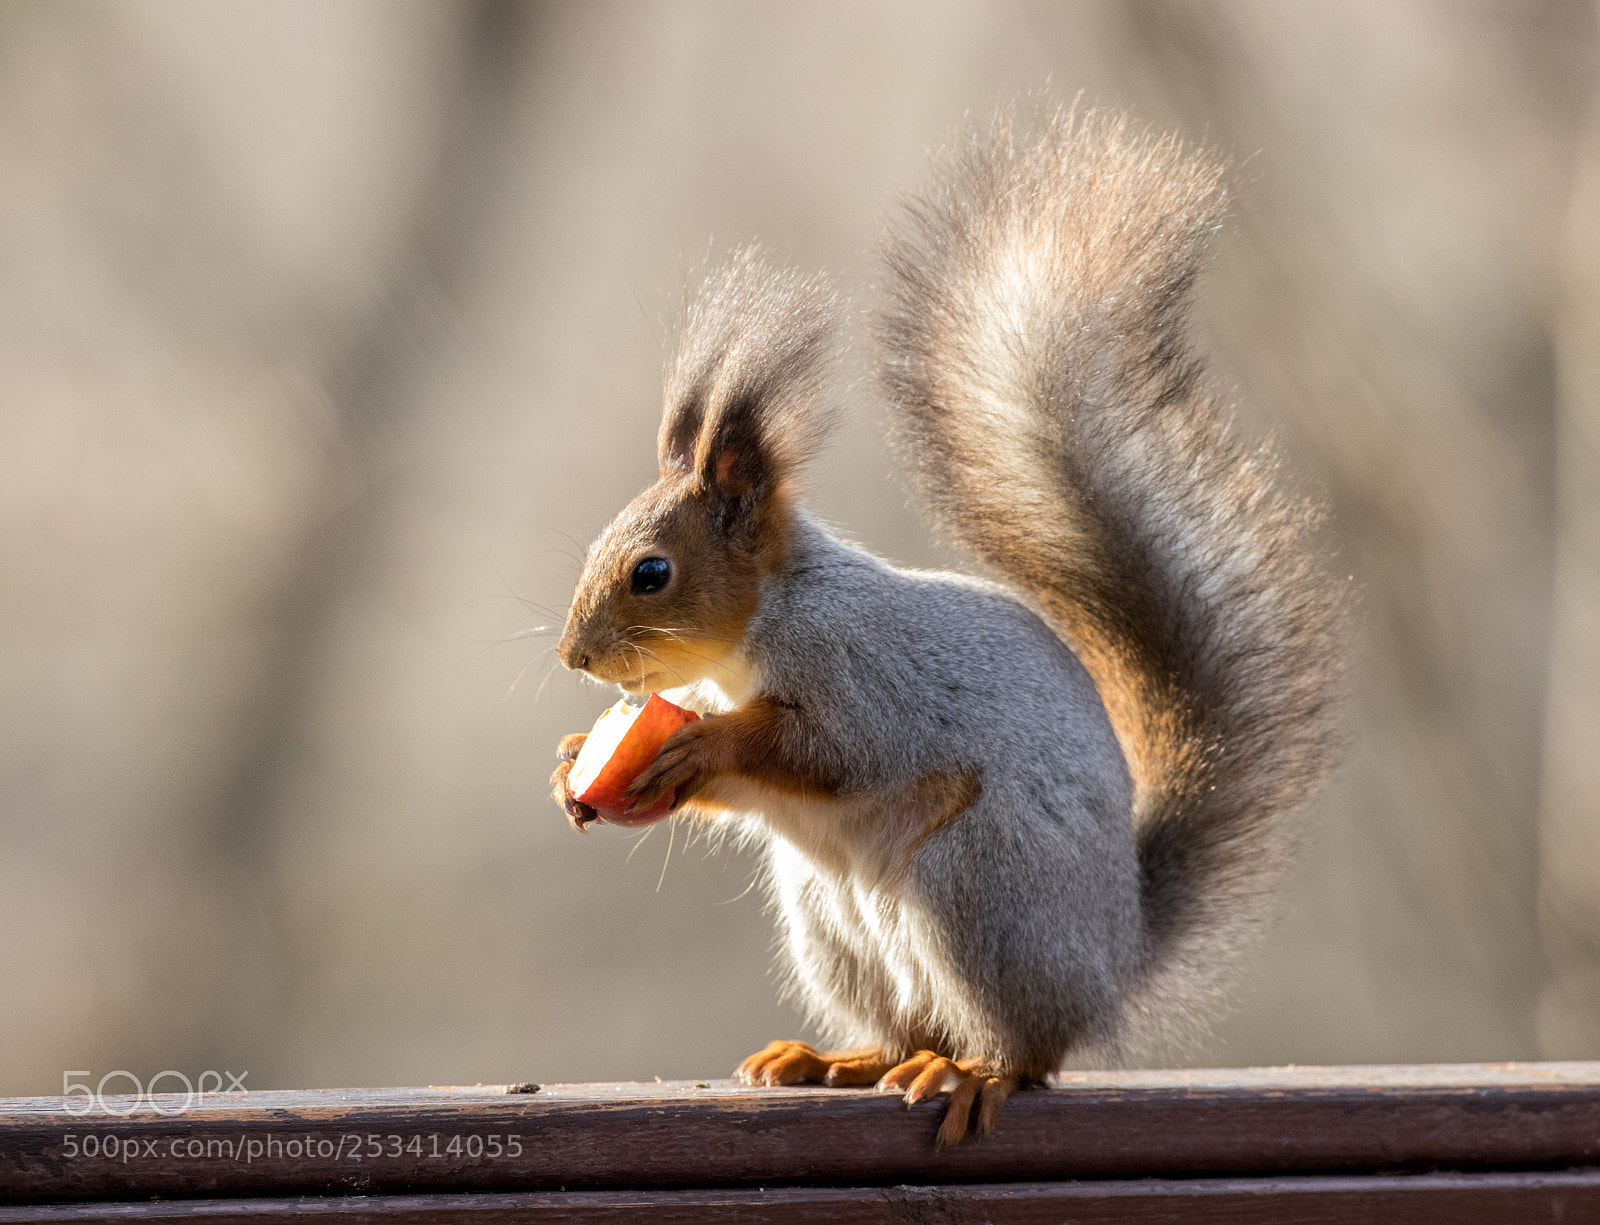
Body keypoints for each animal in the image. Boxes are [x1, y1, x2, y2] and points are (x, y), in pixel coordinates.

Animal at [549, 102, 1346, 1147]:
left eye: (652, 573)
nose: (575, 656)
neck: (763, 626)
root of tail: (1113, 956)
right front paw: (576, 762)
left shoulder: (862, 671)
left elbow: (825, 749)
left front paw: (702, 744)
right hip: (831, 920)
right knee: (905, 1029)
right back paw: (836, 1058)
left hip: (979, 888)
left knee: (1026, 1051)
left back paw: (972, 1075)